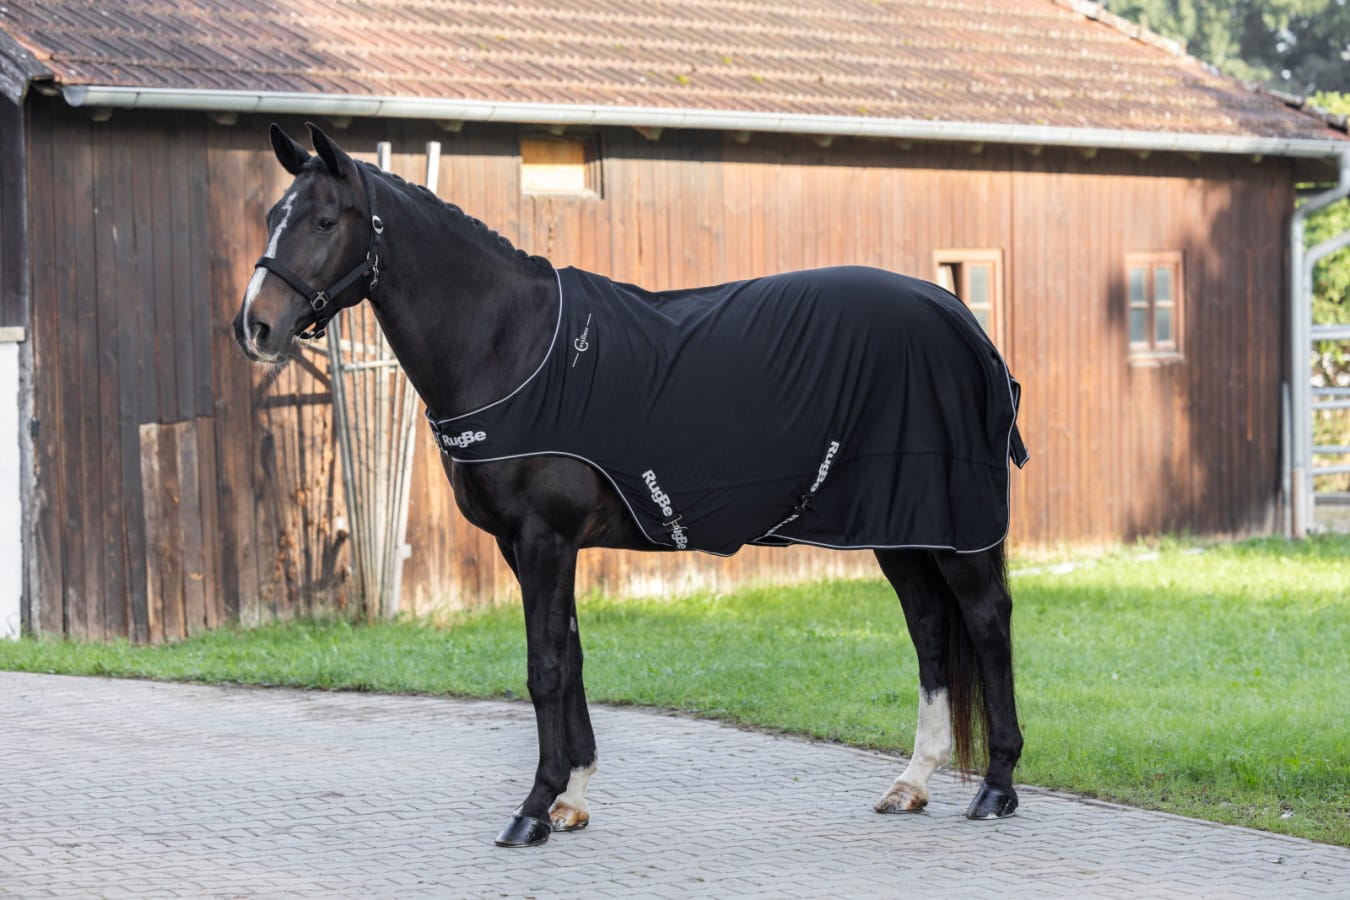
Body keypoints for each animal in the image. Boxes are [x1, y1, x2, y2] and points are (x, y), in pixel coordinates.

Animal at [234, 123, 1027, 848]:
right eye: (273, 214)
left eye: (325, 221)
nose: (256, 327)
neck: (513, 347)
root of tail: (959, 317)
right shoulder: (528, 547)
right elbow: (573, 659)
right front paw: (571, 797)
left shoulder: (545, 538)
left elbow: (545, 667)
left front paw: (532, 810)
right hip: (901, 523)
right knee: (929, 628)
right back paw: (913, 781)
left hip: (947, 524)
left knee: (986, 621)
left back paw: (996, 786)